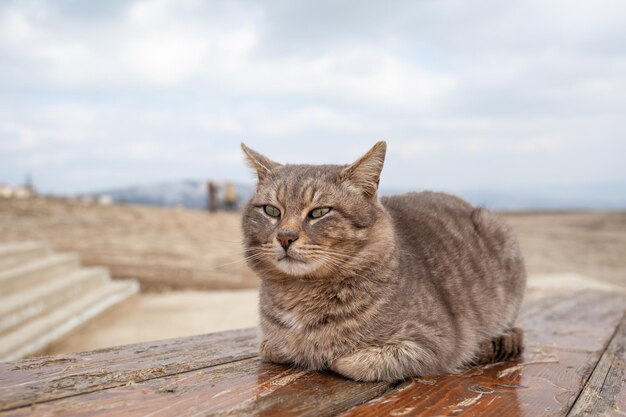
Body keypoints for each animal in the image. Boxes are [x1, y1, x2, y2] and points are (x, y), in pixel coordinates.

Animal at [241, 141, 524, 382]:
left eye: (320, 212)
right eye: (271, 210)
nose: (285, 237)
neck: (300, 291)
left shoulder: (434, 341)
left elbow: (349, 361)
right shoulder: (269, 343)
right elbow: (276, 346)